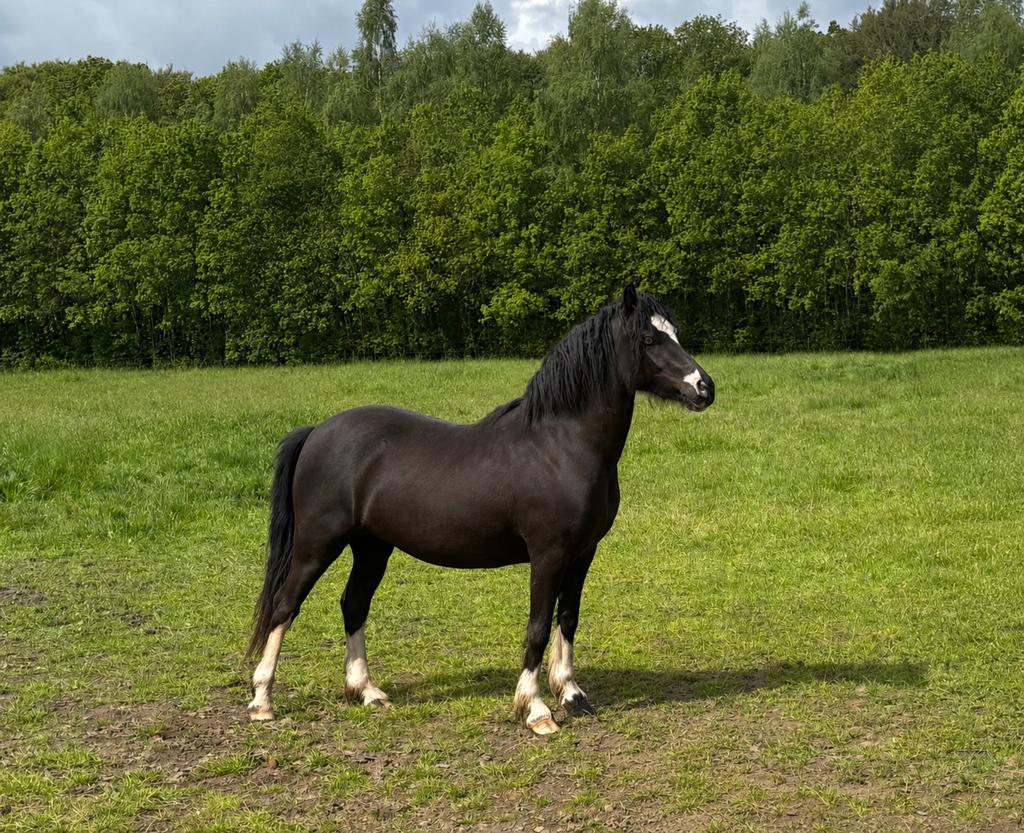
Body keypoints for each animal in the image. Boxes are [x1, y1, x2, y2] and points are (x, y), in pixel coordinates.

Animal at [246, 286, 715, 735]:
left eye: (674, 332)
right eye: (649, 338)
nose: (705, 388)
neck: (562, 444)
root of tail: (316, 432)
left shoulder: (583, 554)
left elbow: (568, 618)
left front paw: (572, 695)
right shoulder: (548, 556)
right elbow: (538, 627)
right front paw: (536, 710)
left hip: (372, 547)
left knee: (354, 604)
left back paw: (367, 692)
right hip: (318, 543)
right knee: (284, 606)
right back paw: (262, 701)